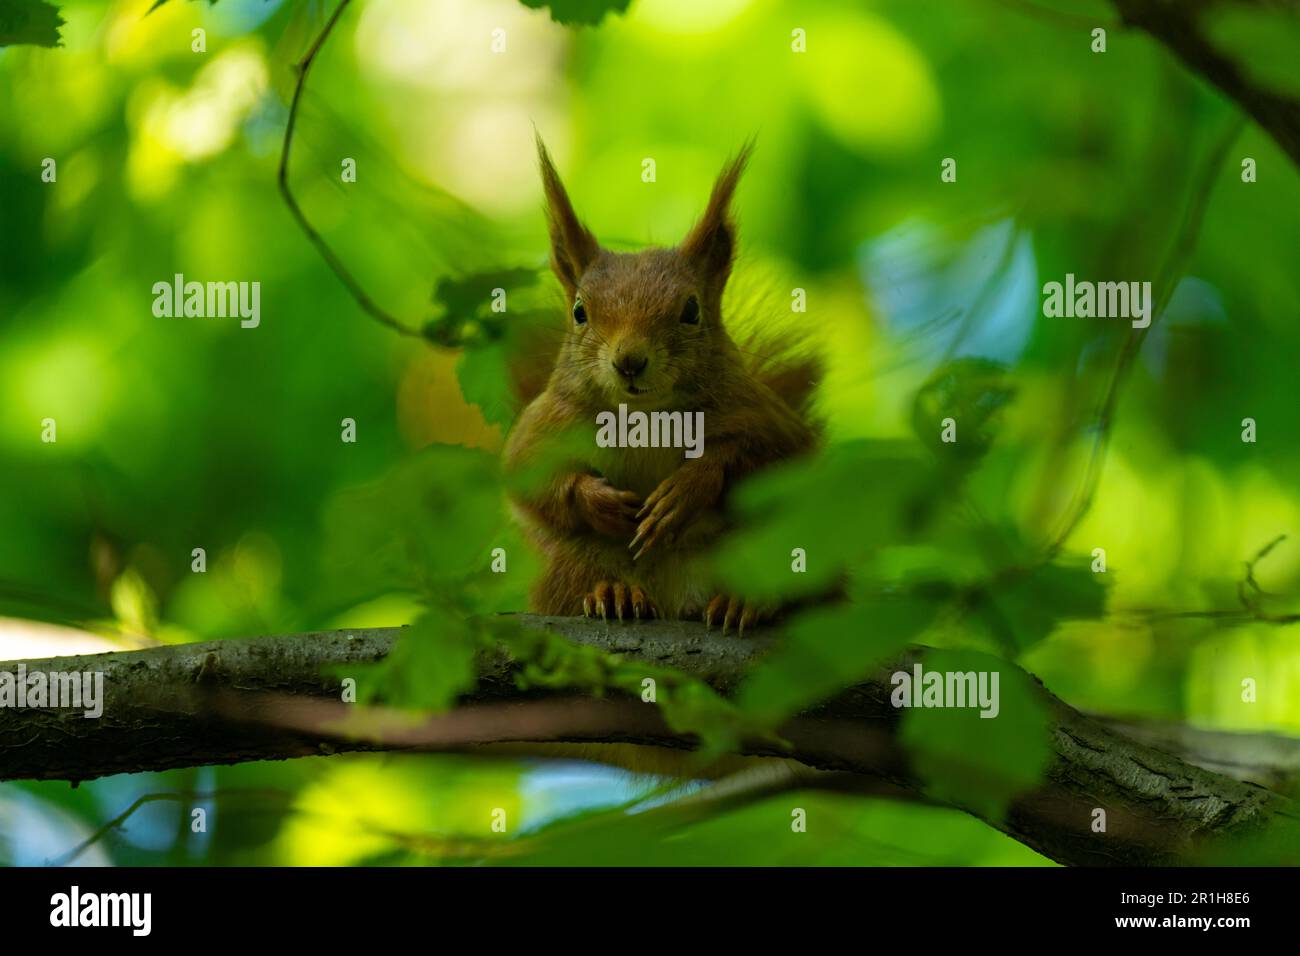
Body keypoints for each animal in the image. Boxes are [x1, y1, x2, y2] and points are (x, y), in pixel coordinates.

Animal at [504, 137, 819, 636]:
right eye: (579, 312)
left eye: (691, 310)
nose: (629, 361)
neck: (646, 418)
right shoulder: (547, 423)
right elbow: (527, 475)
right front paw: (601, 502)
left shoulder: (766, 419)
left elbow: (778, 460)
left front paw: (690, 488)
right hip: (565, 562)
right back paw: (613, 594)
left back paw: (744, 604)